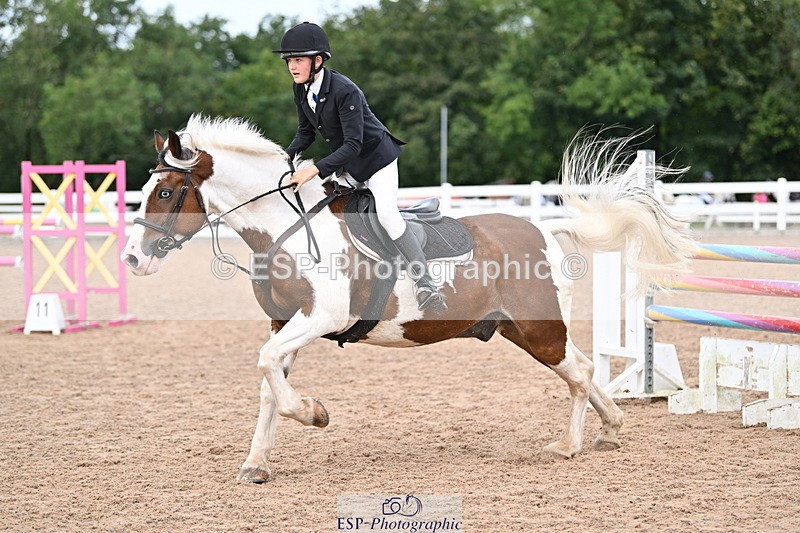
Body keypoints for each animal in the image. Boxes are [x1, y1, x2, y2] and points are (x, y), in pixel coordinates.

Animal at [122, 115, 695, 483]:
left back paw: (570, 446)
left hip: (538, 329)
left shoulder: (320, 316)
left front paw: (314, 413)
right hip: (521, 329)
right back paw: (611, 430)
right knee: (584, 369)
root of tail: (545, 230)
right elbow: (268, 382)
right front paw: (257, 464)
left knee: (577, 372)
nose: (131, 258)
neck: (286, 228)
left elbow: (270, 373)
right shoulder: (284, 324)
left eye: (166, 193)